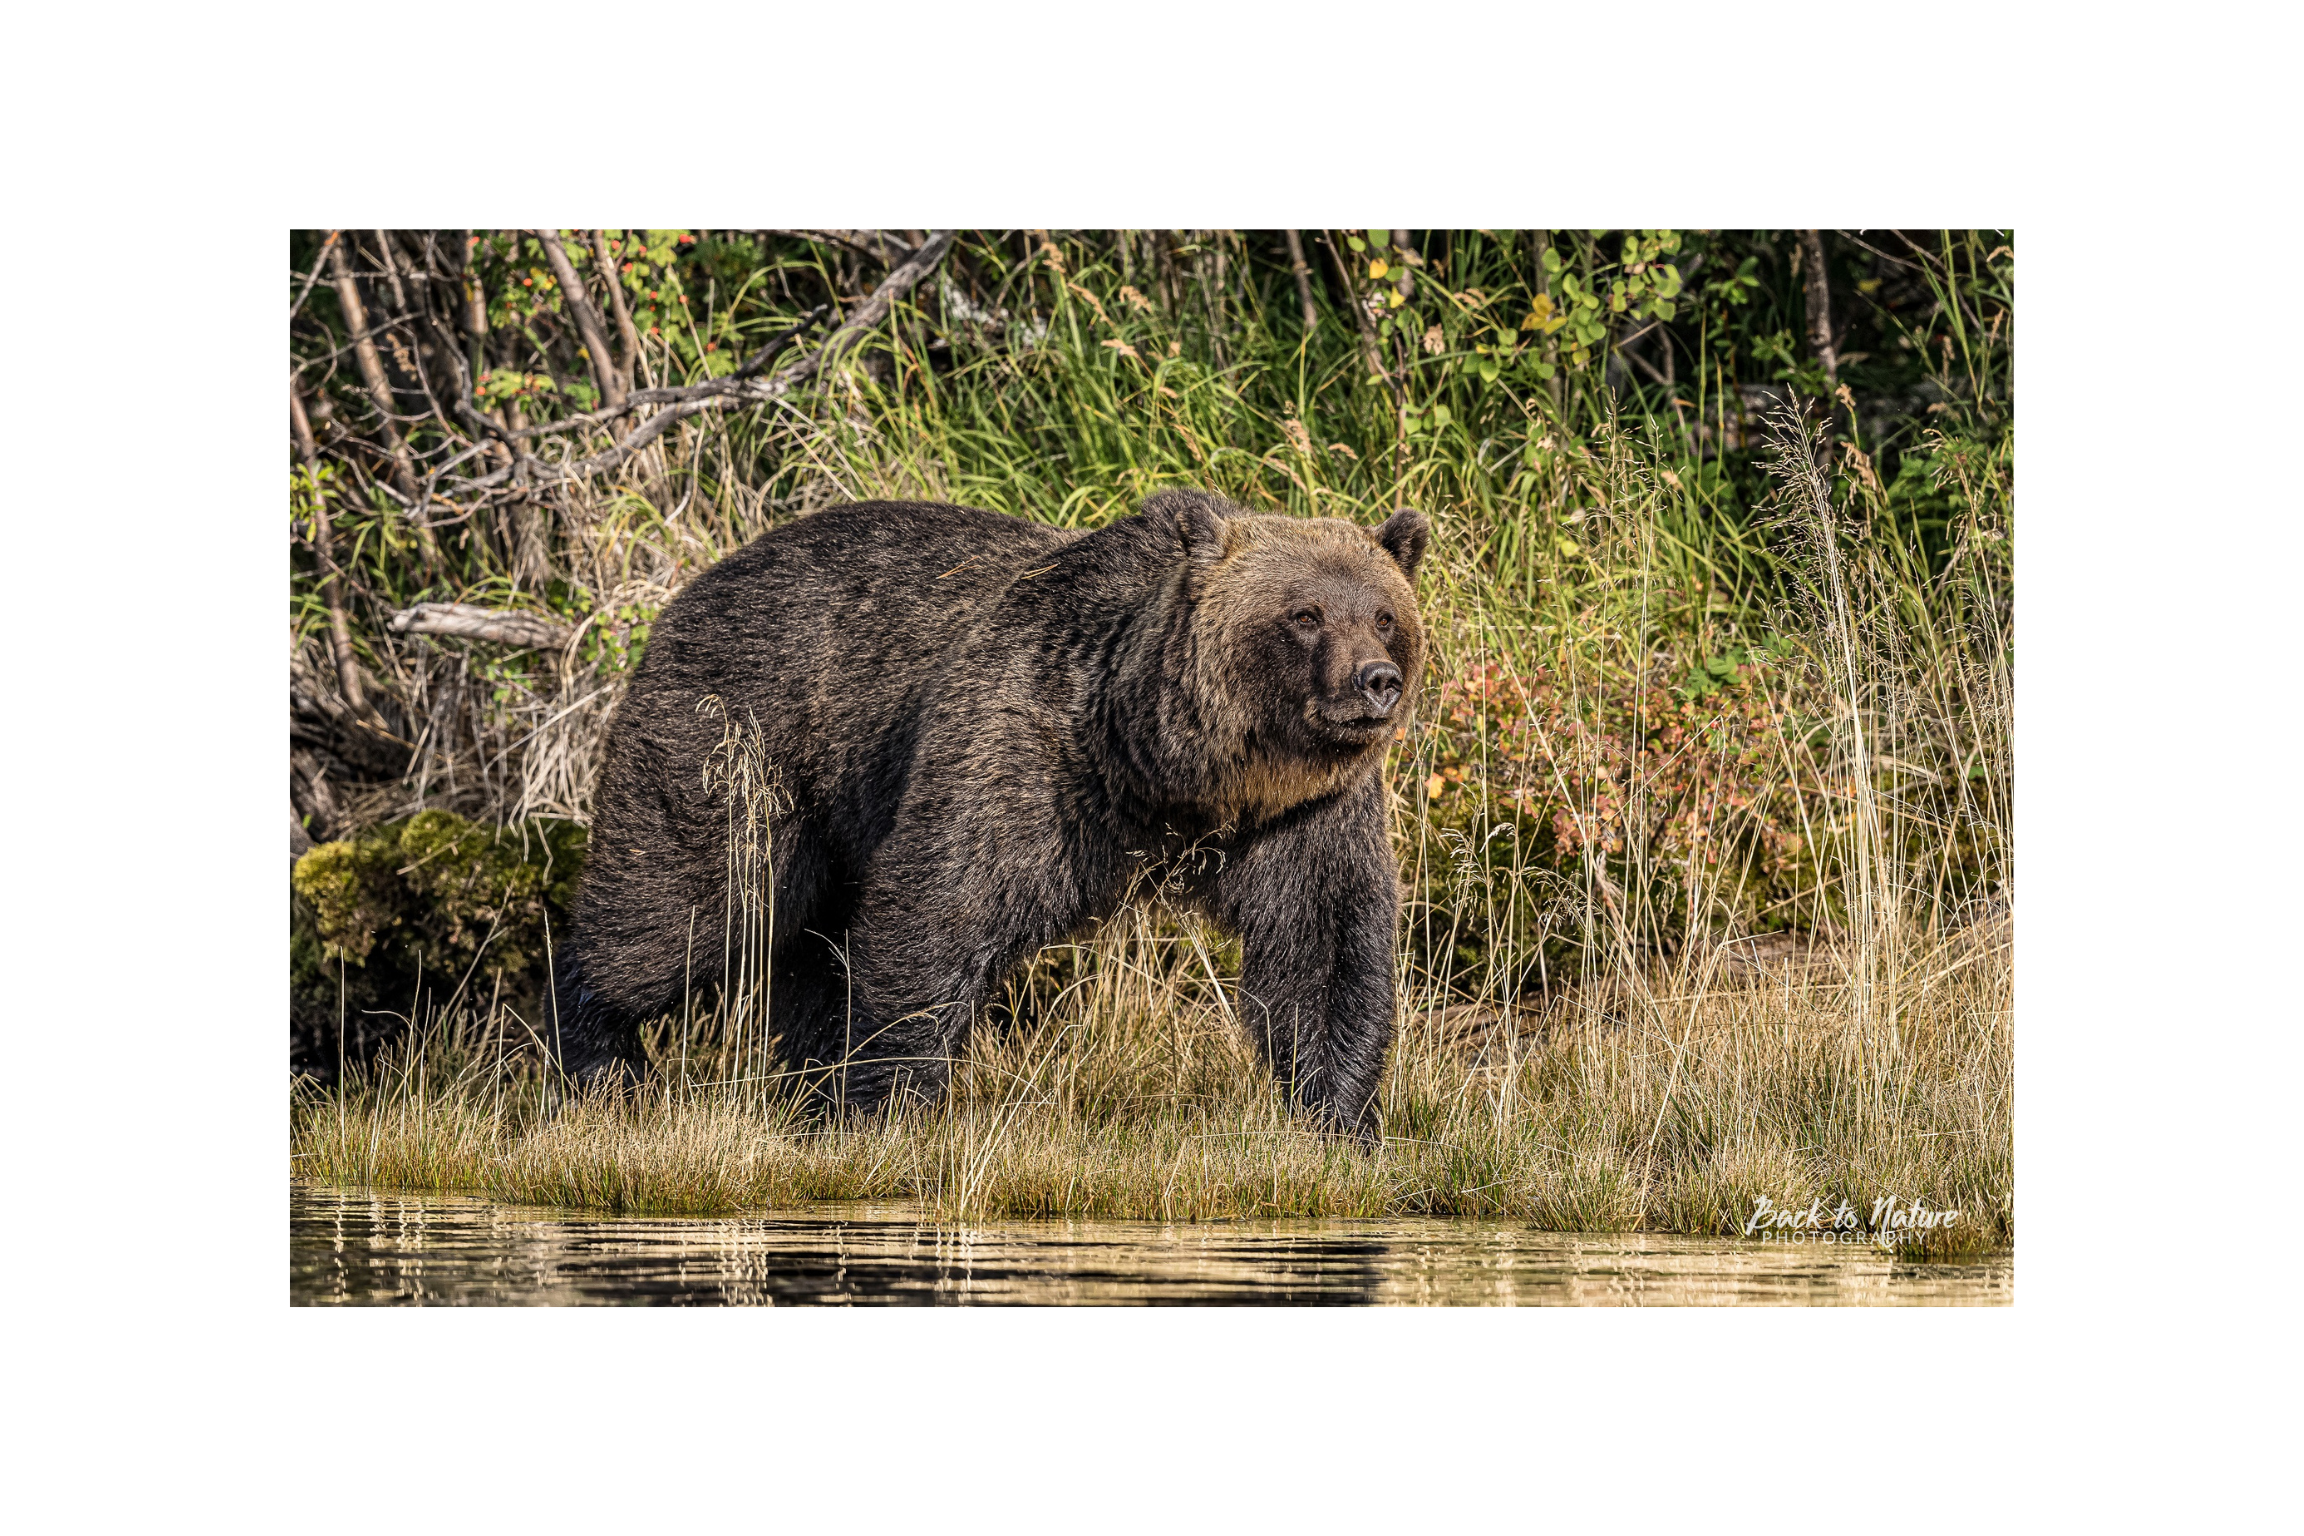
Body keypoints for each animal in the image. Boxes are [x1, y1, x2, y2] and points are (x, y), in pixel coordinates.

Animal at [557, 495, 1419, 1142]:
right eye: (1306, 614)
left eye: (1383, 615)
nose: (1376, 680)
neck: (1167, 770)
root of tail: (696, 583)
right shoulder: (1026, 751)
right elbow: (940, 910)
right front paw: (882, 1107)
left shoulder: (1305, 812)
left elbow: (1325, 945)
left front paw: (1340, 1119)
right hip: (742, 741)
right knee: (690, 902)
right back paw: (600, 1060)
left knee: (805, 947)